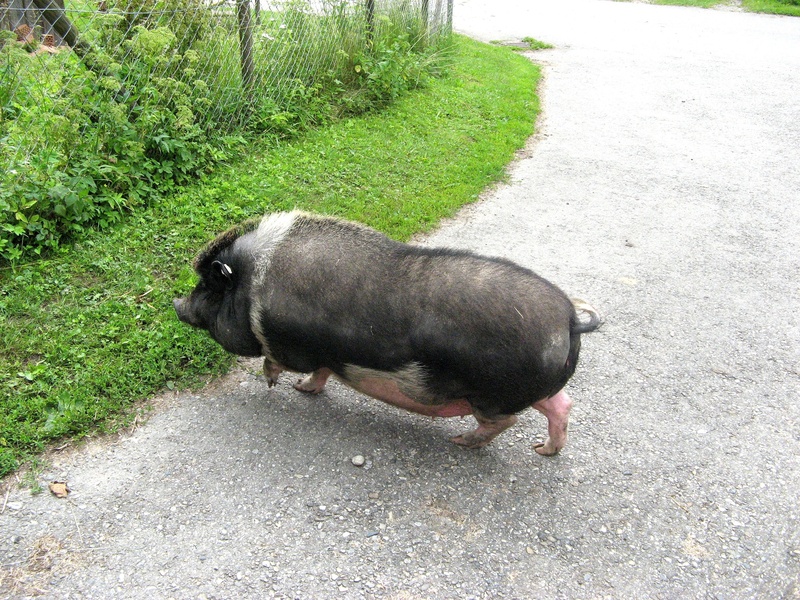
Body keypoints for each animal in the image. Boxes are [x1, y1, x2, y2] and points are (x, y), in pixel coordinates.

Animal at [174, 211, 601, 455]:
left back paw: (460, 442)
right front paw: (302, 390)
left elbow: (275, 360)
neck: (254, 286)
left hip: (492, 395)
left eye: (209, 287)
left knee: (504, 421)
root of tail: (568, 319)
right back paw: (543, 450)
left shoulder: (288, 344)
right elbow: (322, 373)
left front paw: (274, 384)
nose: (177, 304)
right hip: (531, 390)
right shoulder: (328, 353)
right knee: (561, 406)